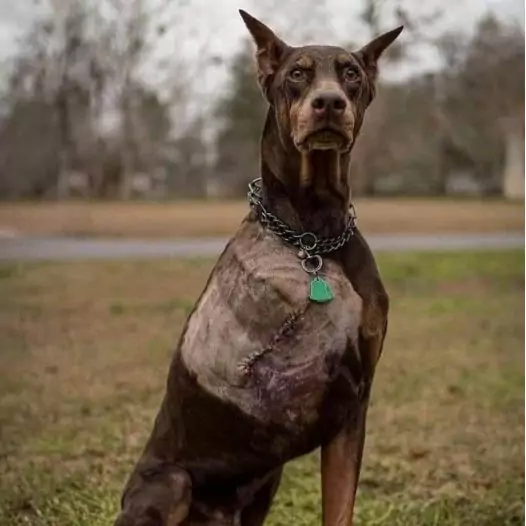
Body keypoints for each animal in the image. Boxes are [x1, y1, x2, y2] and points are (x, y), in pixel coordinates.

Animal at [115, 9, 404, 526]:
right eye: (297, 74)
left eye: (351, 73)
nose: (329, 102)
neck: (313, 236)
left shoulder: (355, 403)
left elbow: (340, 506)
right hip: (171, 481)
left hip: (267, 483)